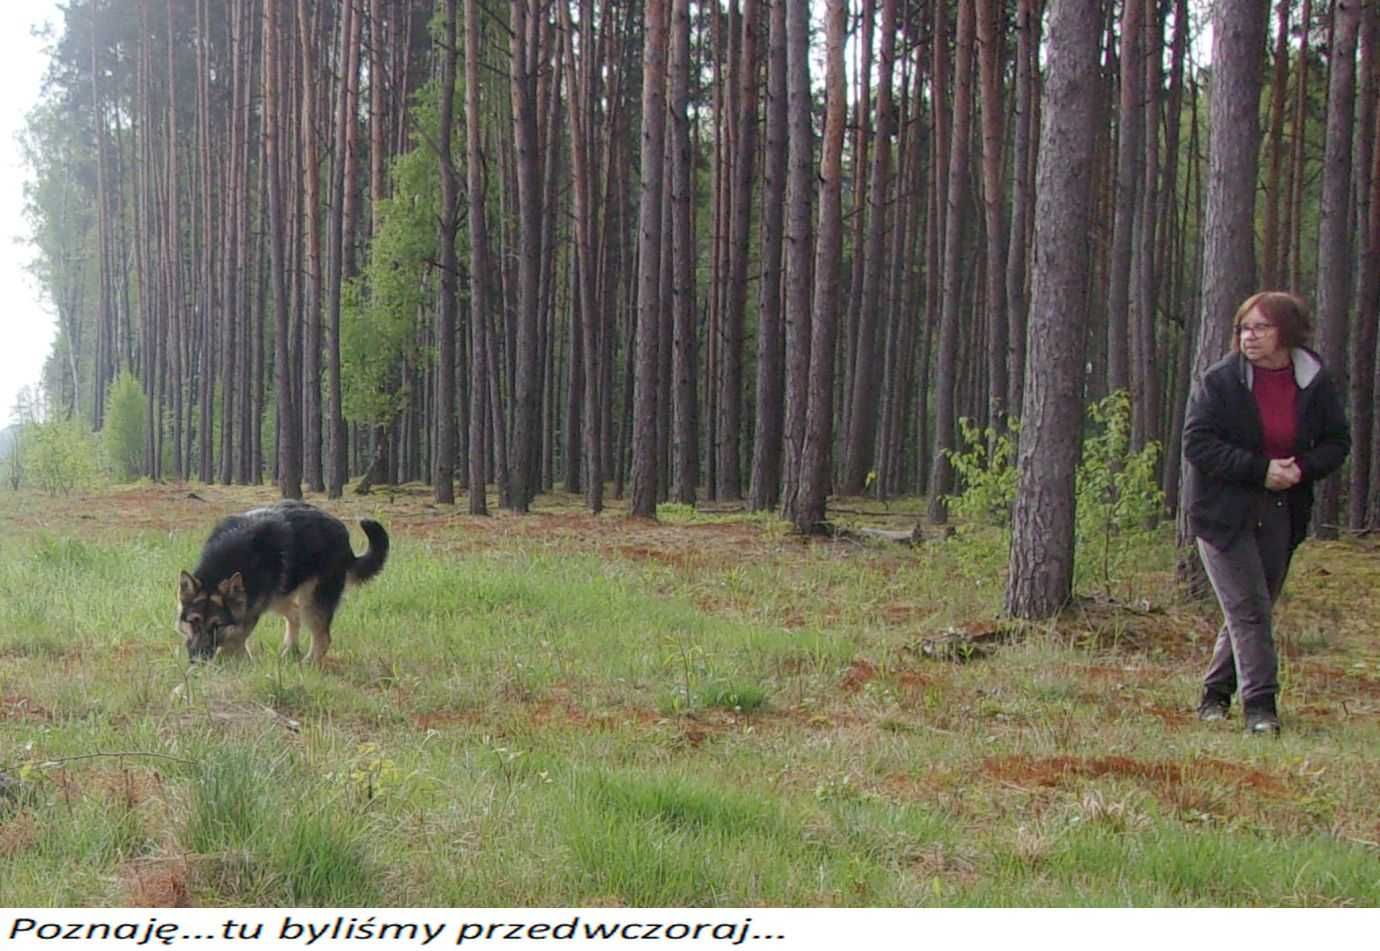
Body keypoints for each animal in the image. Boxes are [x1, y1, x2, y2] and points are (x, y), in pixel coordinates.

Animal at [176, 499, 389, 665]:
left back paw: (307, 664)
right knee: (295, 614)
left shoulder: (247, 616)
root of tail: (343, 534)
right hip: (279, 596)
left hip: (312, 603)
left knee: (323, 638)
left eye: (217, 626)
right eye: (193, 622)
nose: (196, 660)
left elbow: (233, 642)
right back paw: (289, 652)